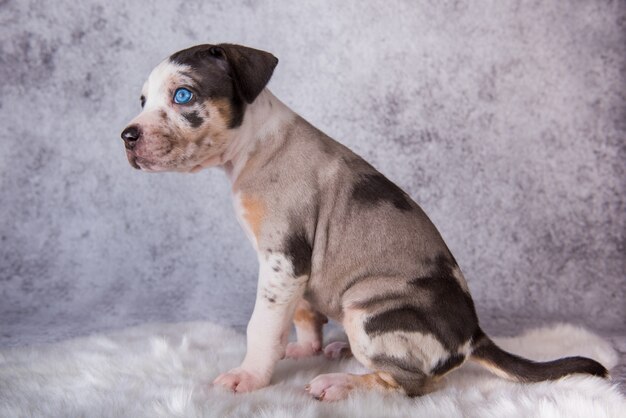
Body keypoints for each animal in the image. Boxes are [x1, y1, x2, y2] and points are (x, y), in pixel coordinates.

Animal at [120, 44, 604, 400]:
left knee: (412, 385)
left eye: (183, 95)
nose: (127, 136)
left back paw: (341, 383)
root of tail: (474, 337)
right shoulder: (295, 268)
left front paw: (250, 376)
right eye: (143, 101)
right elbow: (302, 313)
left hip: (368, 312)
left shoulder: (283, 260)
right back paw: (337, 354)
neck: (254, 145)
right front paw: (305, 349)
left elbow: (262, 326)